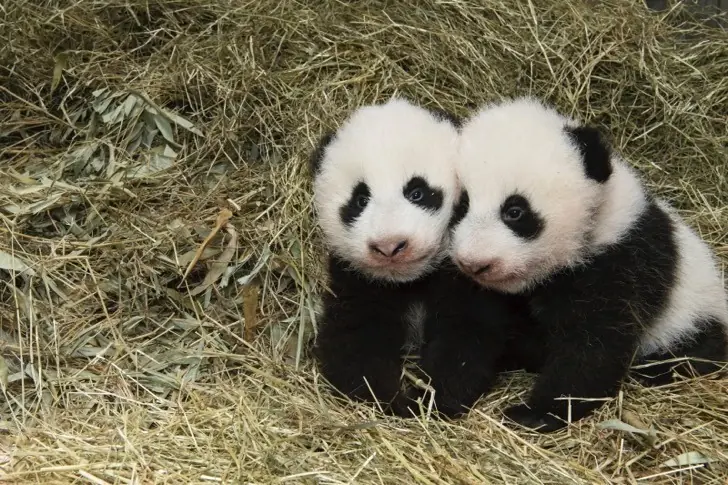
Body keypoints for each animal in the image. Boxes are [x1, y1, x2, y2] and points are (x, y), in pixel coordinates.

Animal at [309, 98, 535, 418]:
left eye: (417, 192)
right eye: (360, 200)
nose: (390, 246)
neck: (410, 280)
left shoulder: (462, 278)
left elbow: (464, 338)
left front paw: (427, 400)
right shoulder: (357, 279)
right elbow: (355, 336)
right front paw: (389, 399)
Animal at [450, 97, 728, 432]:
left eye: (515, 211)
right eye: (462, 205)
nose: (474, 263)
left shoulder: (620, 262)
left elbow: (593, 345)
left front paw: (536, 412)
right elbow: (474, 329)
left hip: (692, 312)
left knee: (698, 348)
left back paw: (654, 368)